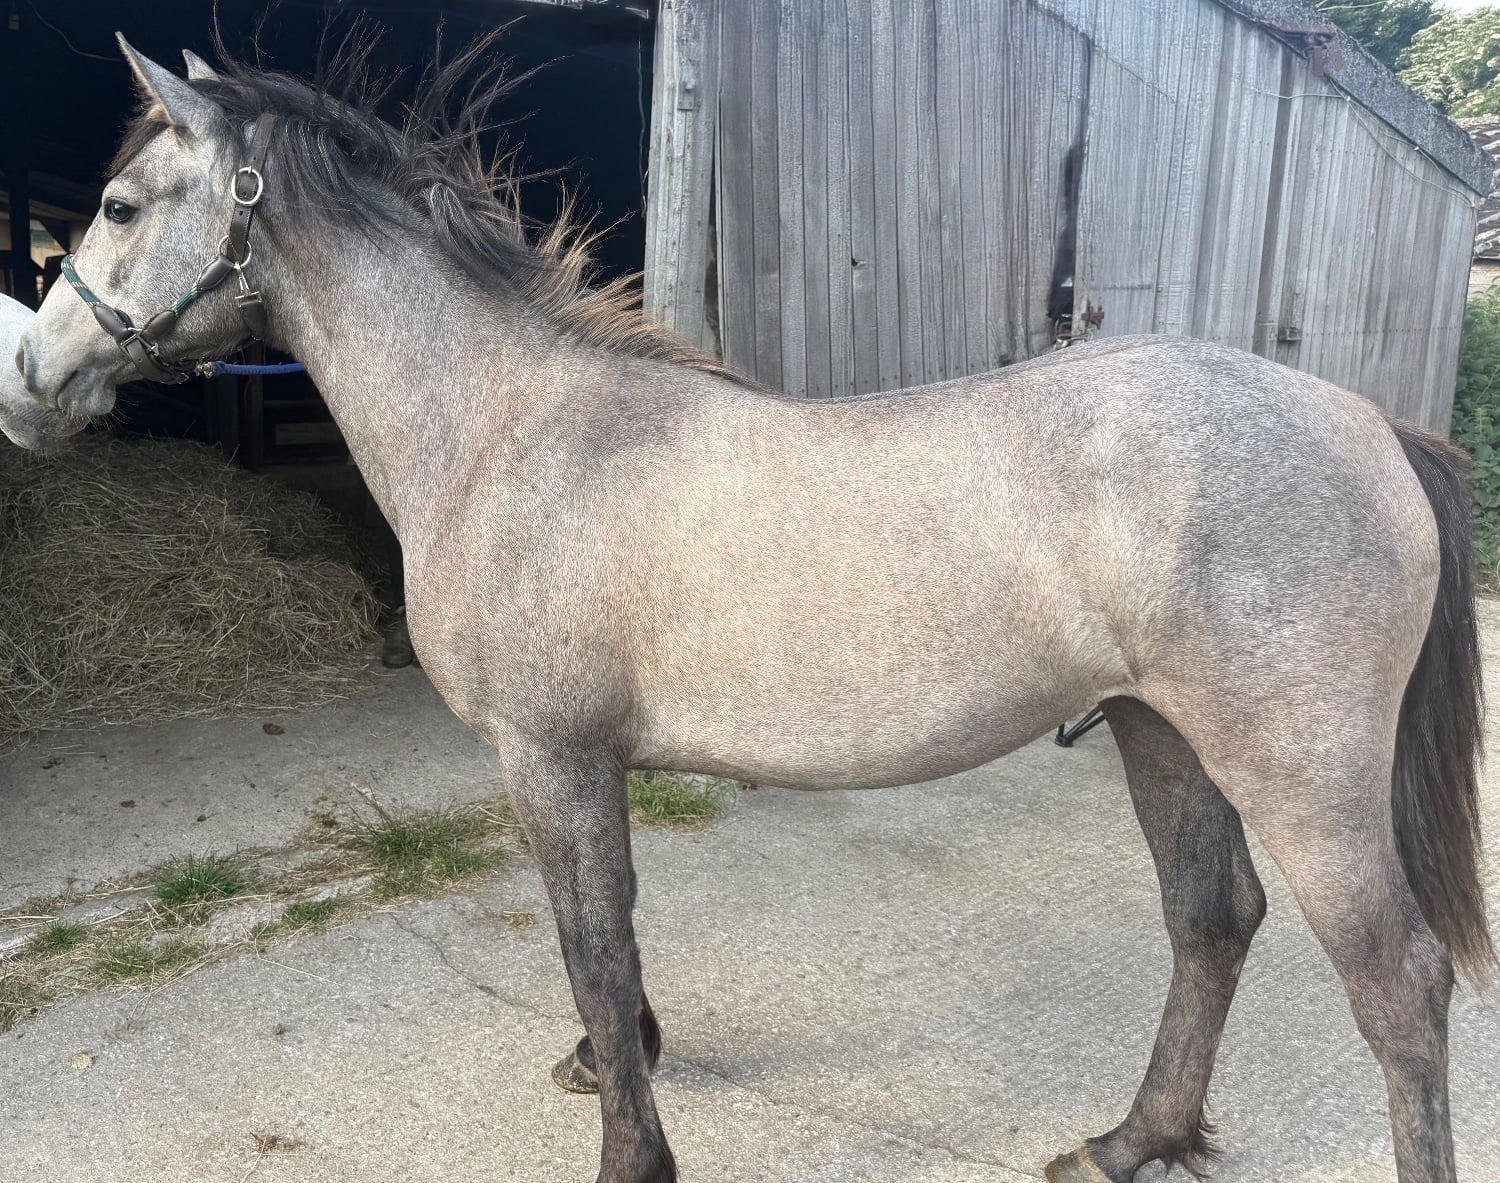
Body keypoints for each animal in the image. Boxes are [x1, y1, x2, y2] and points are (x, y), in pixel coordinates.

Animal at [14, 37, 1492, 1183]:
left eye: (121, 204)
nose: (29, 378)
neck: (509, 429)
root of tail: (1372, 422)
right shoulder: (581, 763)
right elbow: (609, 947)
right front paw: (614, 1061)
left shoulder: (551, 758)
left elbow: (594, 944)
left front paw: (630, 1146)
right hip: (1158, 731)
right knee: (1212, 920)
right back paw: (1131, 1139)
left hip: (1293, 765)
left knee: (1398, 985)